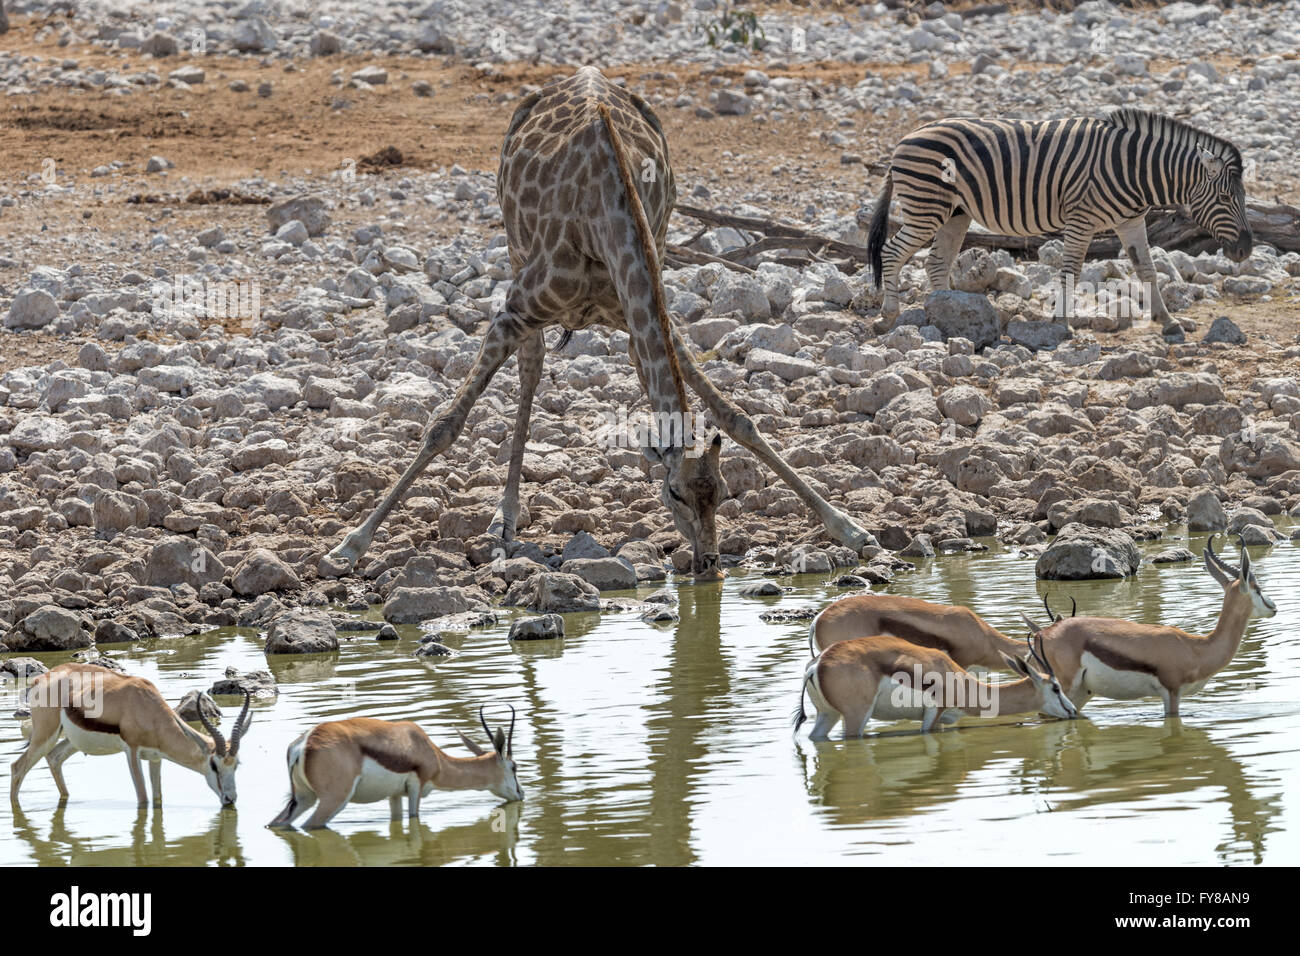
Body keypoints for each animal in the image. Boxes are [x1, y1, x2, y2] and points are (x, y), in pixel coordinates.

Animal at [323, 67, 873, 579]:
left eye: (723, 491)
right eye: (674, 492)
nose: (708, 561)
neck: (604, 216)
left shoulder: (642, 315)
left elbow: (738, 416)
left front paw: (850, 528)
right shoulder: (514, 311)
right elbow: (444, 426)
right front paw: (348, 547)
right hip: (514, 254)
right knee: (531, 369)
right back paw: (503, 519)